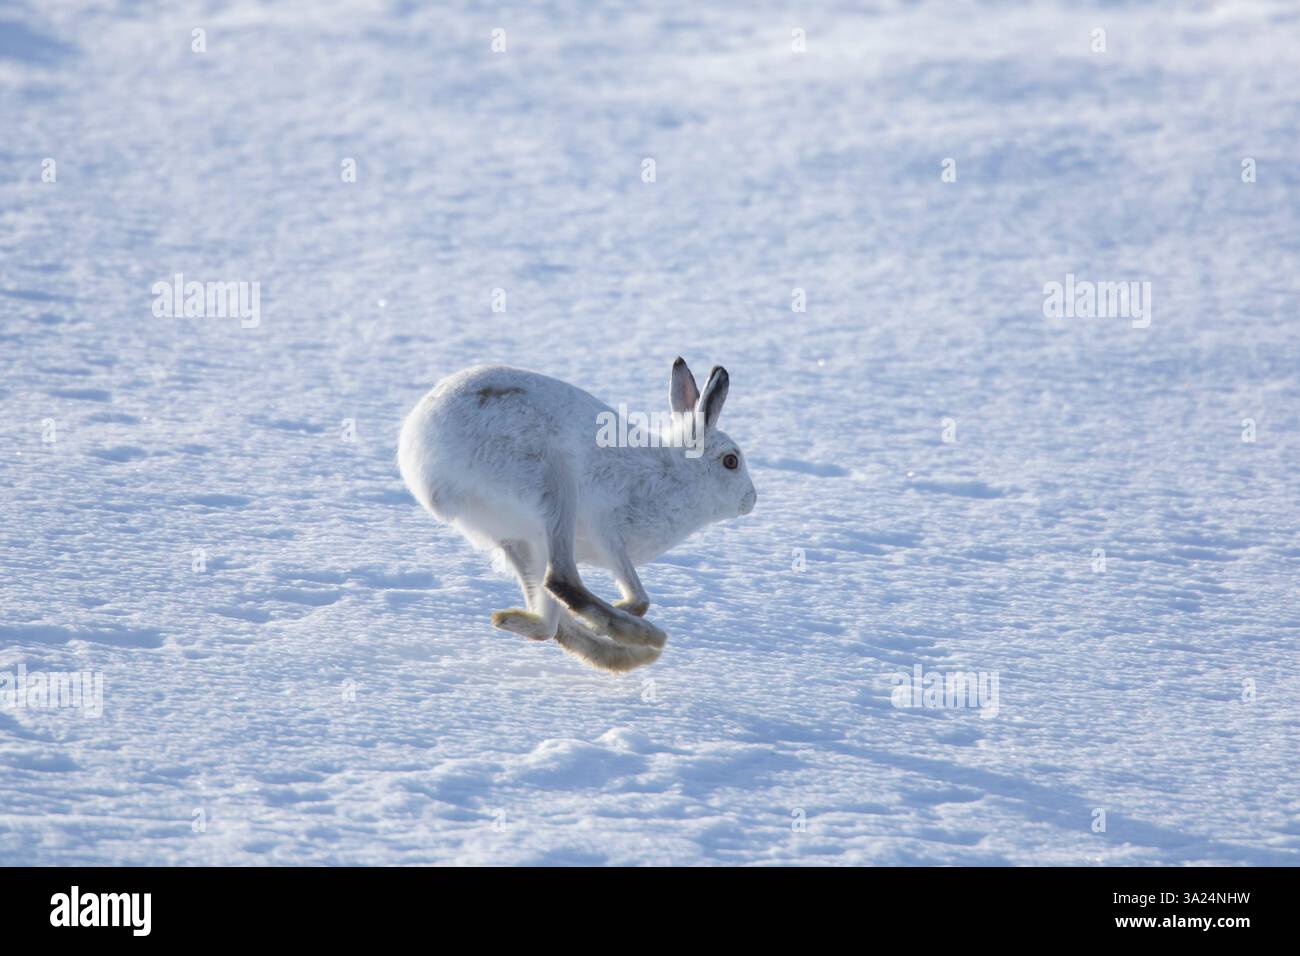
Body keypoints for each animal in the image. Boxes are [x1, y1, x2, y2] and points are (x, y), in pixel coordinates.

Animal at [397, 357, 756, 673]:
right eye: (731, 462)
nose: (751, 501)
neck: (676, 472)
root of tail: (423, 460)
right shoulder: (606, 529)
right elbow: (638, 598)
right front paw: (620, 613)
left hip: (515, 536)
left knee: (547, 619)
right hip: (557, 490)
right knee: (562, 579)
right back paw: (645, 638)